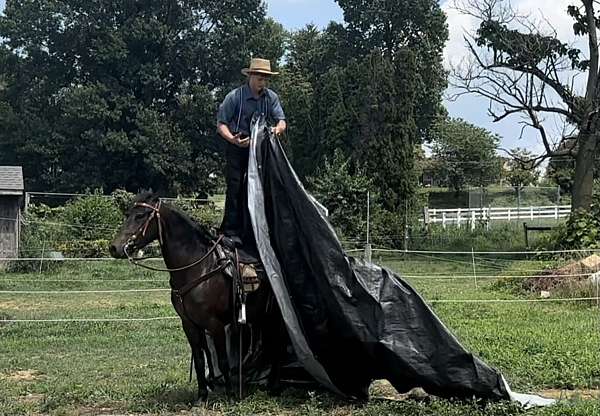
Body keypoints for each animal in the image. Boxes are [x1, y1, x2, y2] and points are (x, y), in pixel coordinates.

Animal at [108, 192, 282, 404]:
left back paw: (273, 387)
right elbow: (199, 359)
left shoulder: (215, 325)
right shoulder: (190, 325)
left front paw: (230, 395)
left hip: (273, 317)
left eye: (140, 215)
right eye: (128, 214)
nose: (114, 247)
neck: (197, 268)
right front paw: (201, 396)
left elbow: (223, 361)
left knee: (277, 346)